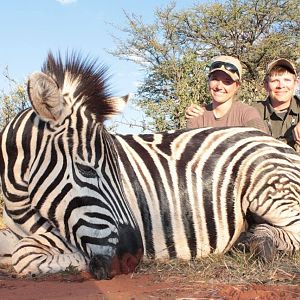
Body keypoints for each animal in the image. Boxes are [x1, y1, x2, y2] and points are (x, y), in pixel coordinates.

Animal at [0, 52, 144, 280]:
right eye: (86, 170)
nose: (134, 258)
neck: (18, 206)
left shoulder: (63, 232)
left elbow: (24, 253)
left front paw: (80, 261)